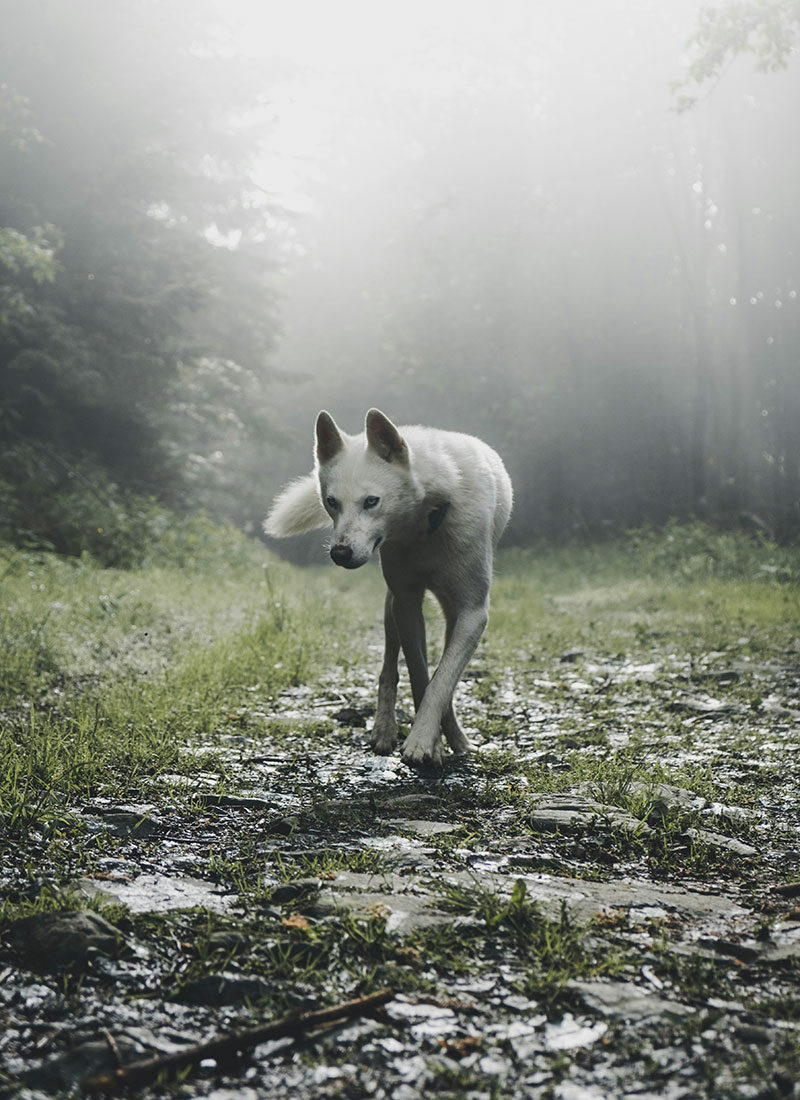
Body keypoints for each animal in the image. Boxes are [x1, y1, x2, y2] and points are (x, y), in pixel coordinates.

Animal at [262, 409, 512, 770]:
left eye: (371, 501)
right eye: (332, 502)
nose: (339, 553)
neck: (426, 523)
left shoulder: (473, 613)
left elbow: (442, 680)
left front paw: (425, 740)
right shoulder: (406, 603)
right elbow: (420, 676)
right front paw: (430, 743)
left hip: (449, 613)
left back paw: (458, 738)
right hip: (391, 607)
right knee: (389, 668)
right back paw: (385, 729)